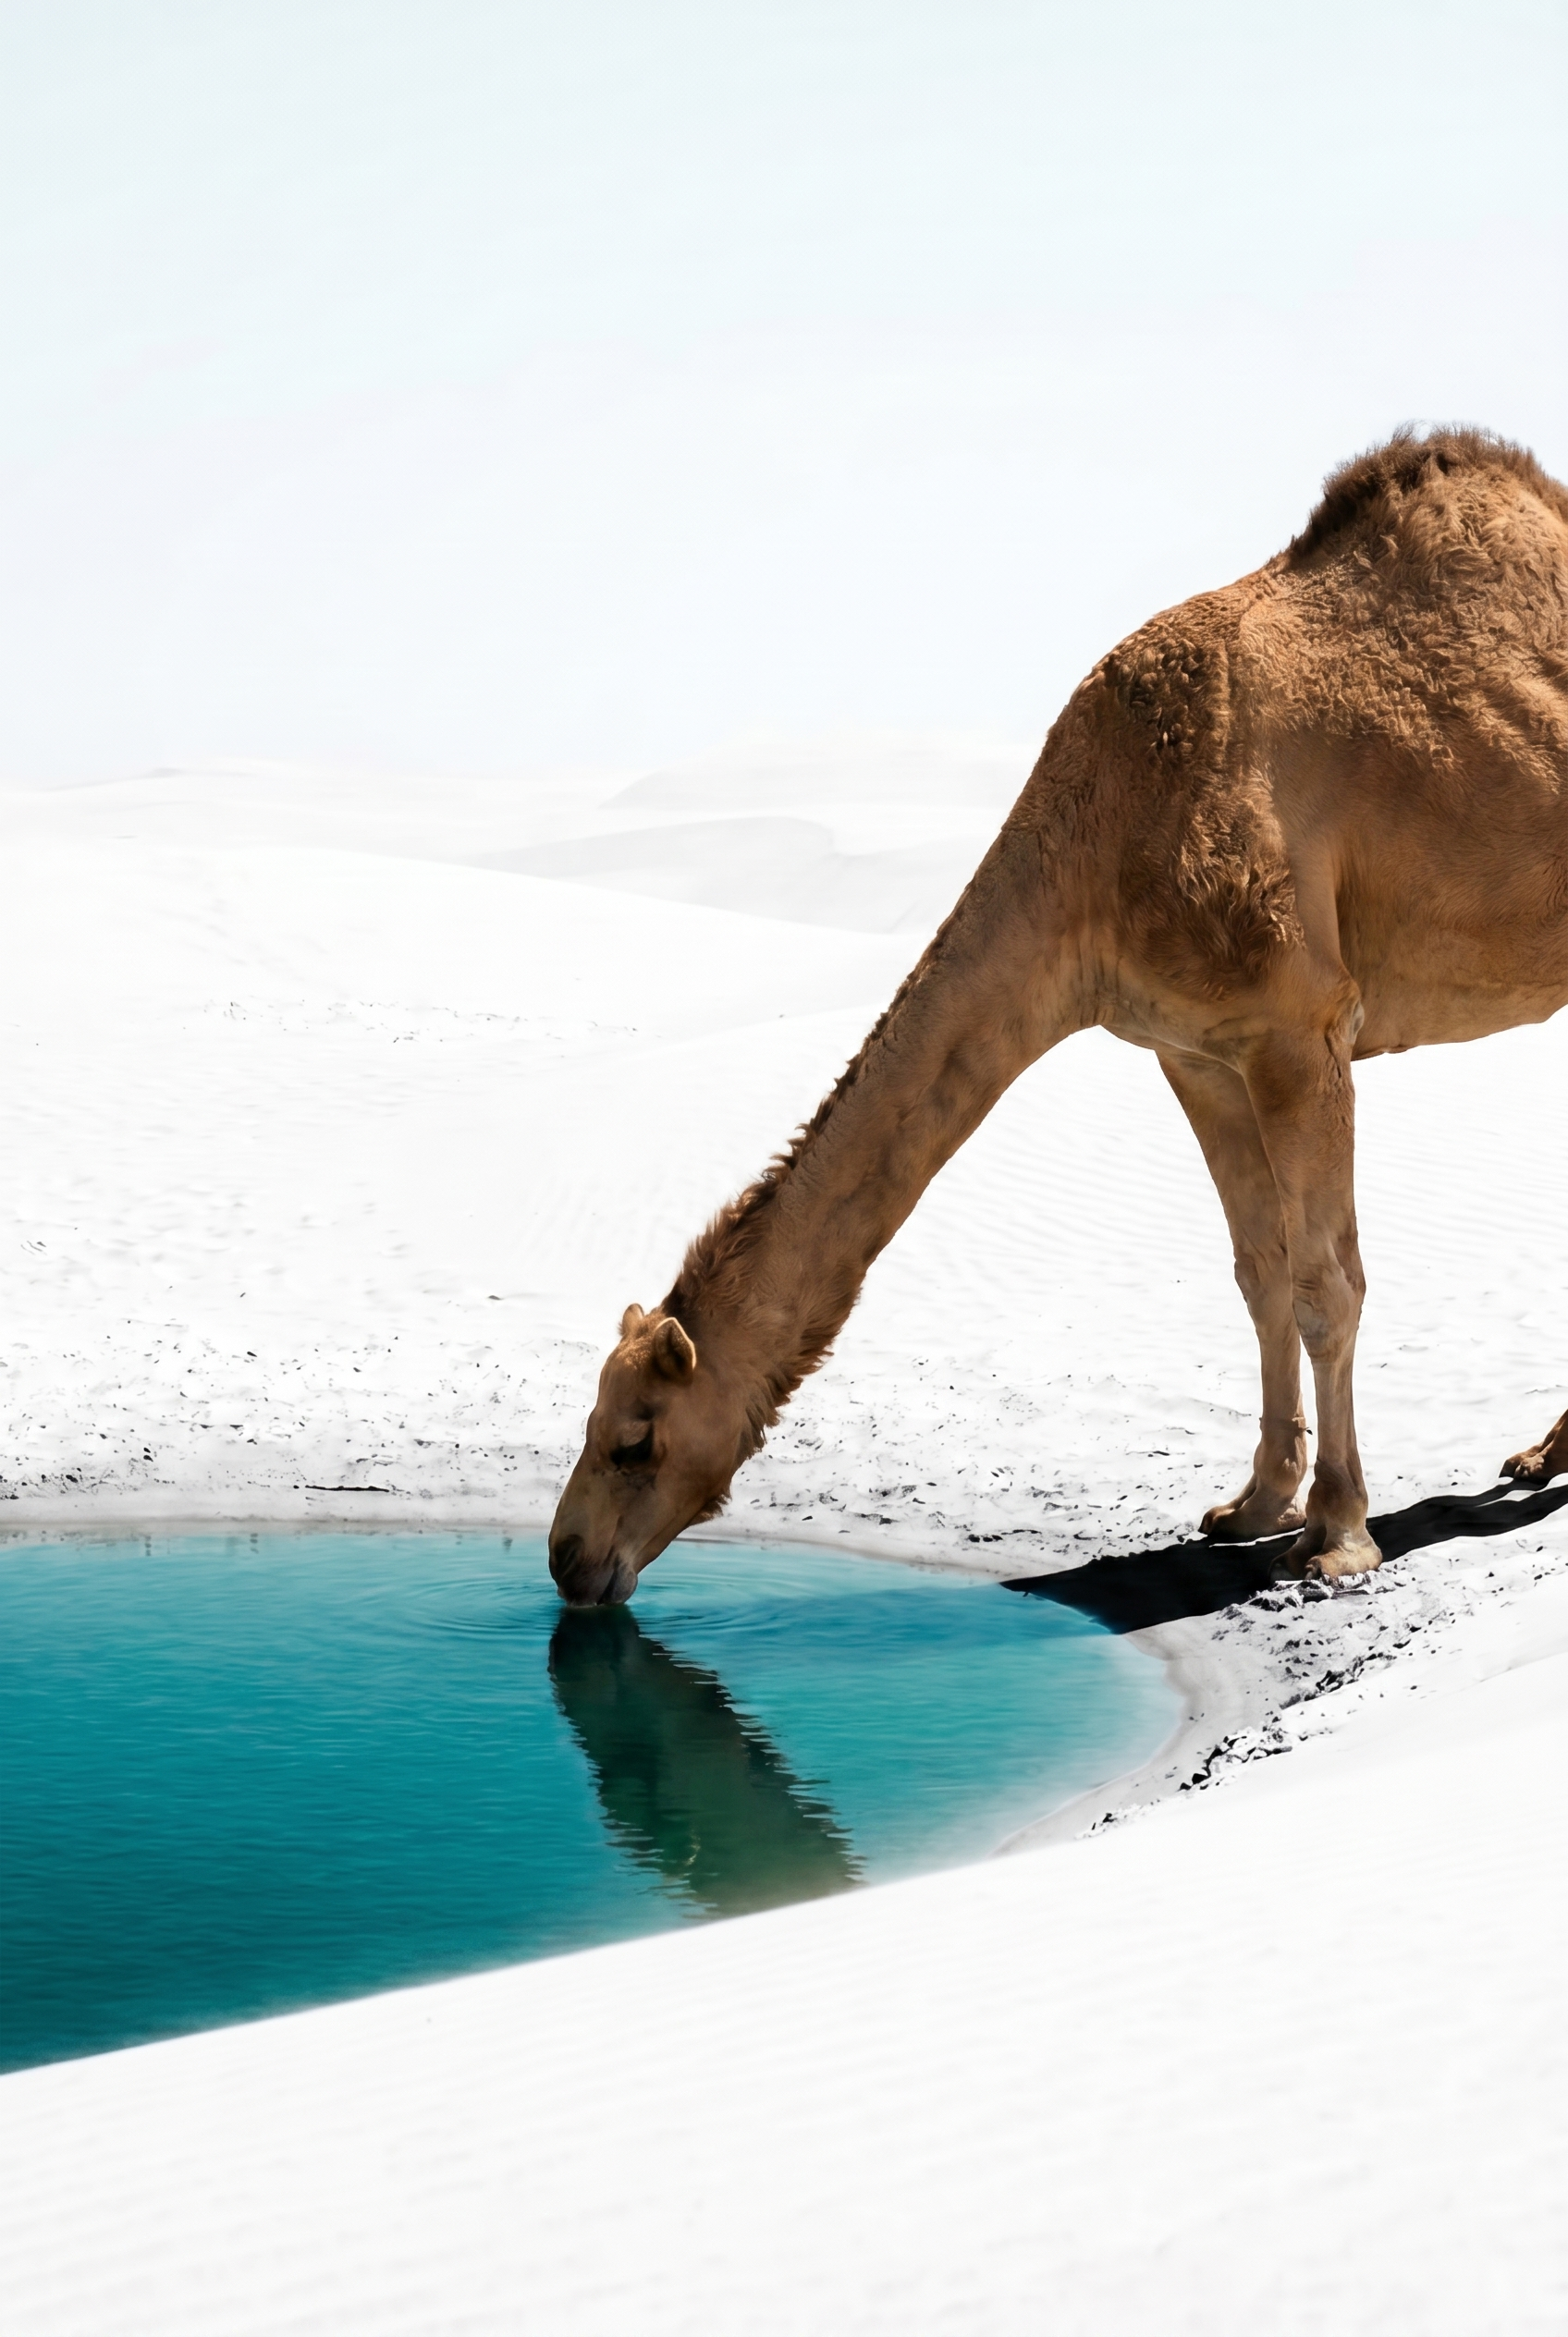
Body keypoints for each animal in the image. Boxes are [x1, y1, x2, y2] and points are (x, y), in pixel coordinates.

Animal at [550, 428, 1568, 1607]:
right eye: (589, 1422)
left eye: (635, 1436)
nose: (565, 1557)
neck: (1097, 836)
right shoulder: (1195, 1049)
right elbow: (1258, 1269)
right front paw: (1253, 1504)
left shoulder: (1298, 1025)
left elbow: (1326, 1281)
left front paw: (1337, 1532)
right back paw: (1547, 1451)